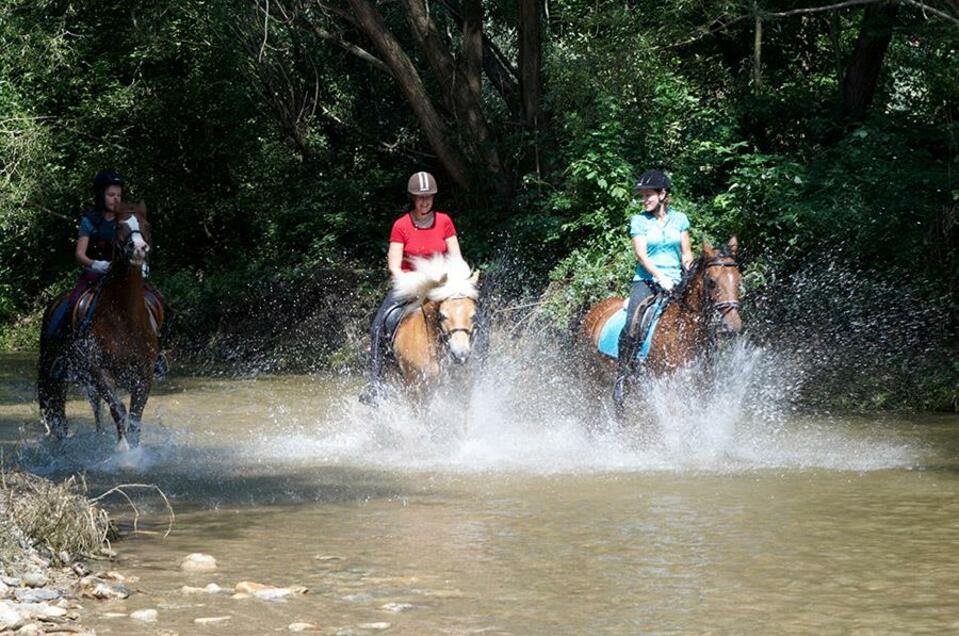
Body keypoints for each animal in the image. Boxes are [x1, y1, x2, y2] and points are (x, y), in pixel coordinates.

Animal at [37, 202, 161, 448]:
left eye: (147, 225)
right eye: (118, 227)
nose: (139, 249)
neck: (124, 317)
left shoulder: (144, 372)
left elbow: (135, 415)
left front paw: (135, 448)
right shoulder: (99, 370)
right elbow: (118, 408)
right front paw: (124, 450)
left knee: (94, 405)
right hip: (58, 370)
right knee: (59, 405)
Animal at [576, 237, 744, 418]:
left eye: (738, 280)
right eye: (712, 282)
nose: (732, 326)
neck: (683, 328)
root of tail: (594, 310)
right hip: (592, 376)